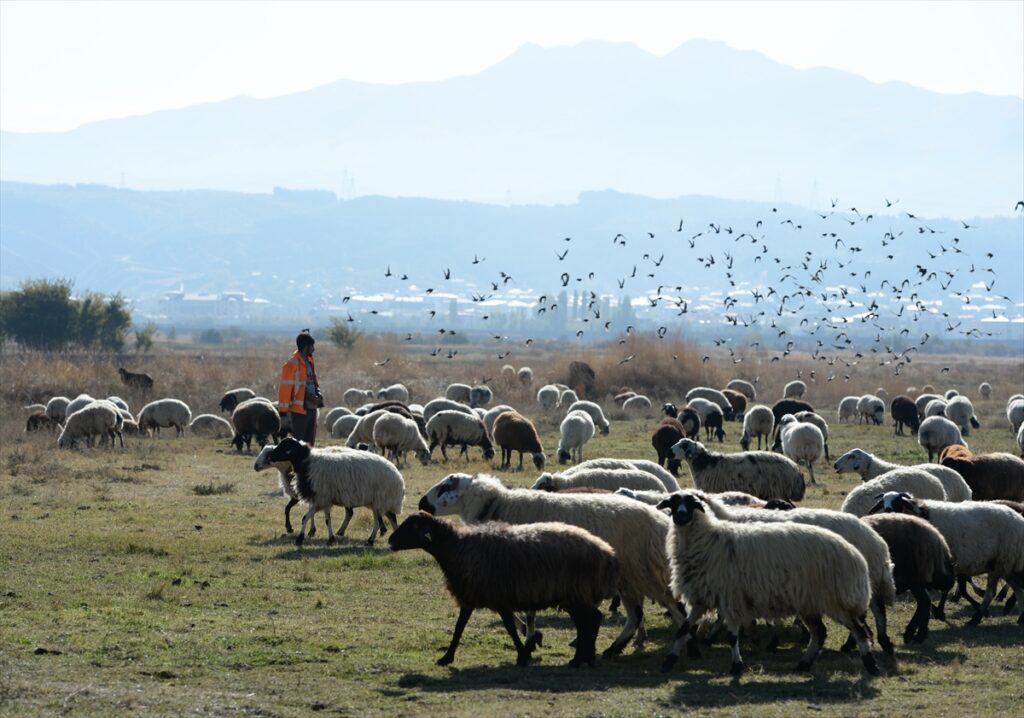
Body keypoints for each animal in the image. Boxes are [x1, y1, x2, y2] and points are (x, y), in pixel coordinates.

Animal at [258, 436, 405, 544]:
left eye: (285, 448)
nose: (271, 457)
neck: (307, 463)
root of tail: (398, 477)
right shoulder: (322, 500)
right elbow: (319, 519)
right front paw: (329, 538)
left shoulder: (321, 497)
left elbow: (312, 518)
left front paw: (301, 538)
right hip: (377, 502)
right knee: (385, 519)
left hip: (381, 499)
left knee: (384, 520)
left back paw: (372, 540)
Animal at [389, 510, 614, 667]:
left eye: (413, 526)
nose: (390, 540)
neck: (457, 549)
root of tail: (605, 551)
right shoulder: (471, 595)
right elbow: (459, 628)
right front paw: (446, 657)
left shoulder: (499, 597)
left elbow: (510, 628)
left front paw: (523, 655)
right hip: (575, 595)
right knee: (590, 621)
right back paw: (585, 658)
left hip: (575, 593)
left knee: (590, 621)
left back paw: (580, 659)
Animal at [659, 489, 876, 676]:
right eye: (673, 502)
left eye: (692, 503)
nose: (680, 517)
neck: (708, 540)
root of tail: (856, 555)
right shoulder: (701, 597)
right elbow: (683, 629)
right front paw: (669, 661)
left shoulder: (730, 596)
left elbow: (732, 635)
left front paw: (736, 665)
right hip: (810, 602)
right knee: (820, 633)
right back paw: (803, 664)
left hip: (836, 600)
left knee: (859, 630)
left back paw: (870, 665)